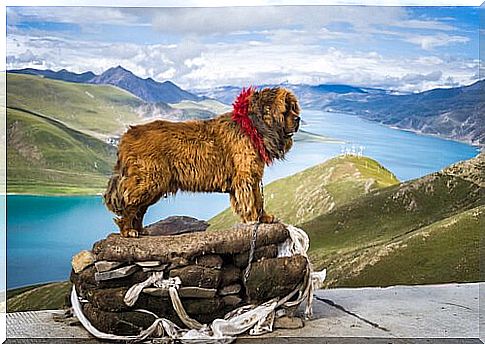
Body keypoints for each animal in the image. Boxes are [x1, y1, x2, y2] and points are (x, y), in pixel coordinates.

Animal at [103, 86, 298, 236]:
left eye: (294, 107)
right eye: (286, 108)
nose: (298, 119)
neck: (252, 127)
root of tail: (127, 137)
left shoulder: (252, 177)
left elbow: (257, 199)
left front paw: (263, 218)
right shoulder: (246, 176)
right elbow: (252, 199)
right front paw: (254, 219)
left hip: (153, 185)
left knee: (140, 209)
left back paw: (139, 230)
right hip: (149, 180)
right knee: (130, 205)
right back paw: (128, 230)